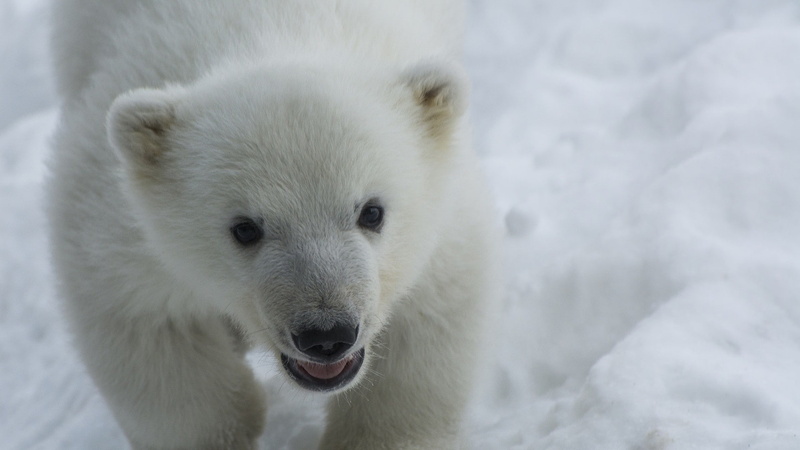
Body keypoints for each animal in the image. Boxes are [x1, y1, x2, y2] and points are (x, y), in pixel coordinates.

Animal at [46, 0, 497, 448]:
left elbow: (427, 318)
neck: (273, 28)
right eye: (245, 228)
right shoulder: (120, 225)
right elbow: (148, 323)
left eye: (372, 211)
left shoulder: (442, 217)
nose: (326, 334)